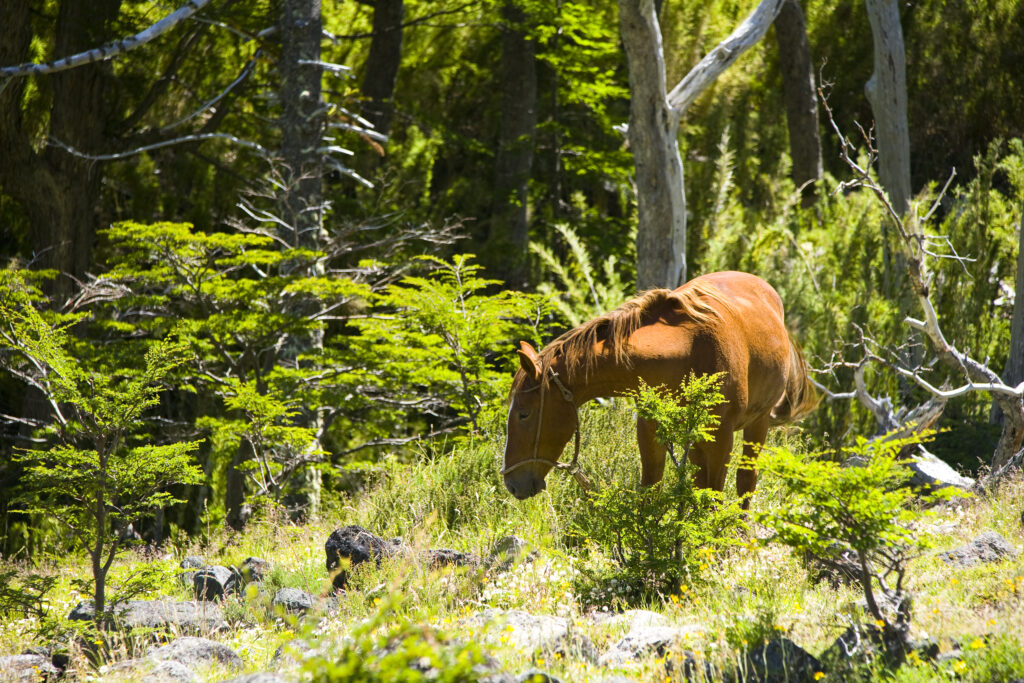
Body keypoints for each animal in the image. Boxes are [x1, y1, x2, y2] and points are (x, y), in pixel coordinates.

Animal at [501, 270, 818, 506]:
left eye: (524, 414)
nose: (511, 483)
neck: (689, 351)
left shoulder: (720, 436)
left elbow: (714, 496)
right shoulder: (650, 428)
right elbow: (651, 488)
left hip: (757, 423)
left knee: (745, 481)